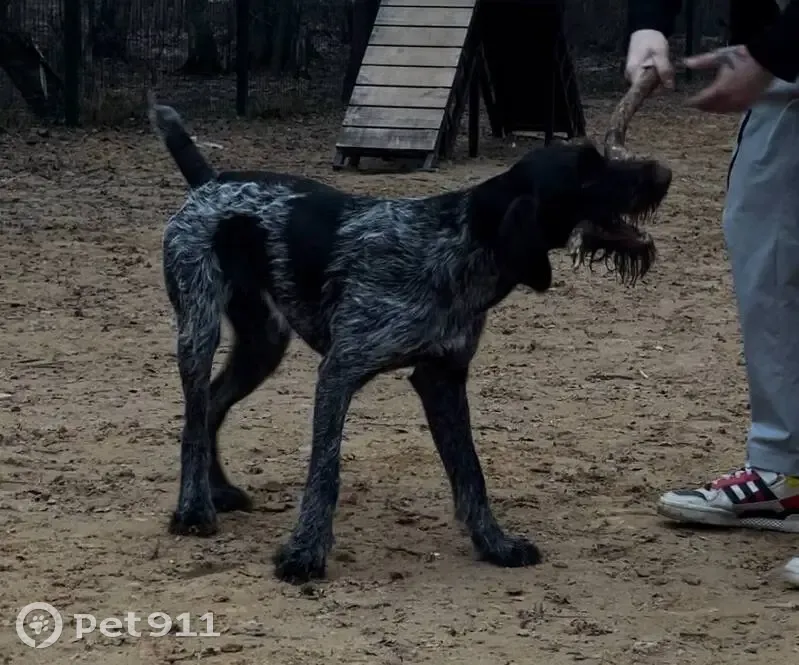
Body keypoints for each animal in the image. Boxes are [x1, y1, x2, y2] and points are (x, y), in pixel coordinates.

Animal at [148, 96, 671, 584]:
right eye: (586, 170)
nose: (664, 173)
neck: (461, 241)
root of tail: (210, 183)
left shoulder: (443, 379)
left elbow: (471, 473)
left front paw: (494, 544)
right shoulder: (339, 372)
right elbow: (326, 472)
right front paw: (304, 553)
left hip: (264, 342)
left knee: (213, 405)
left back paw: (216, 492)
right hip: (198, 327)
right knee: (193, 419)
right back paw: (193, 510)